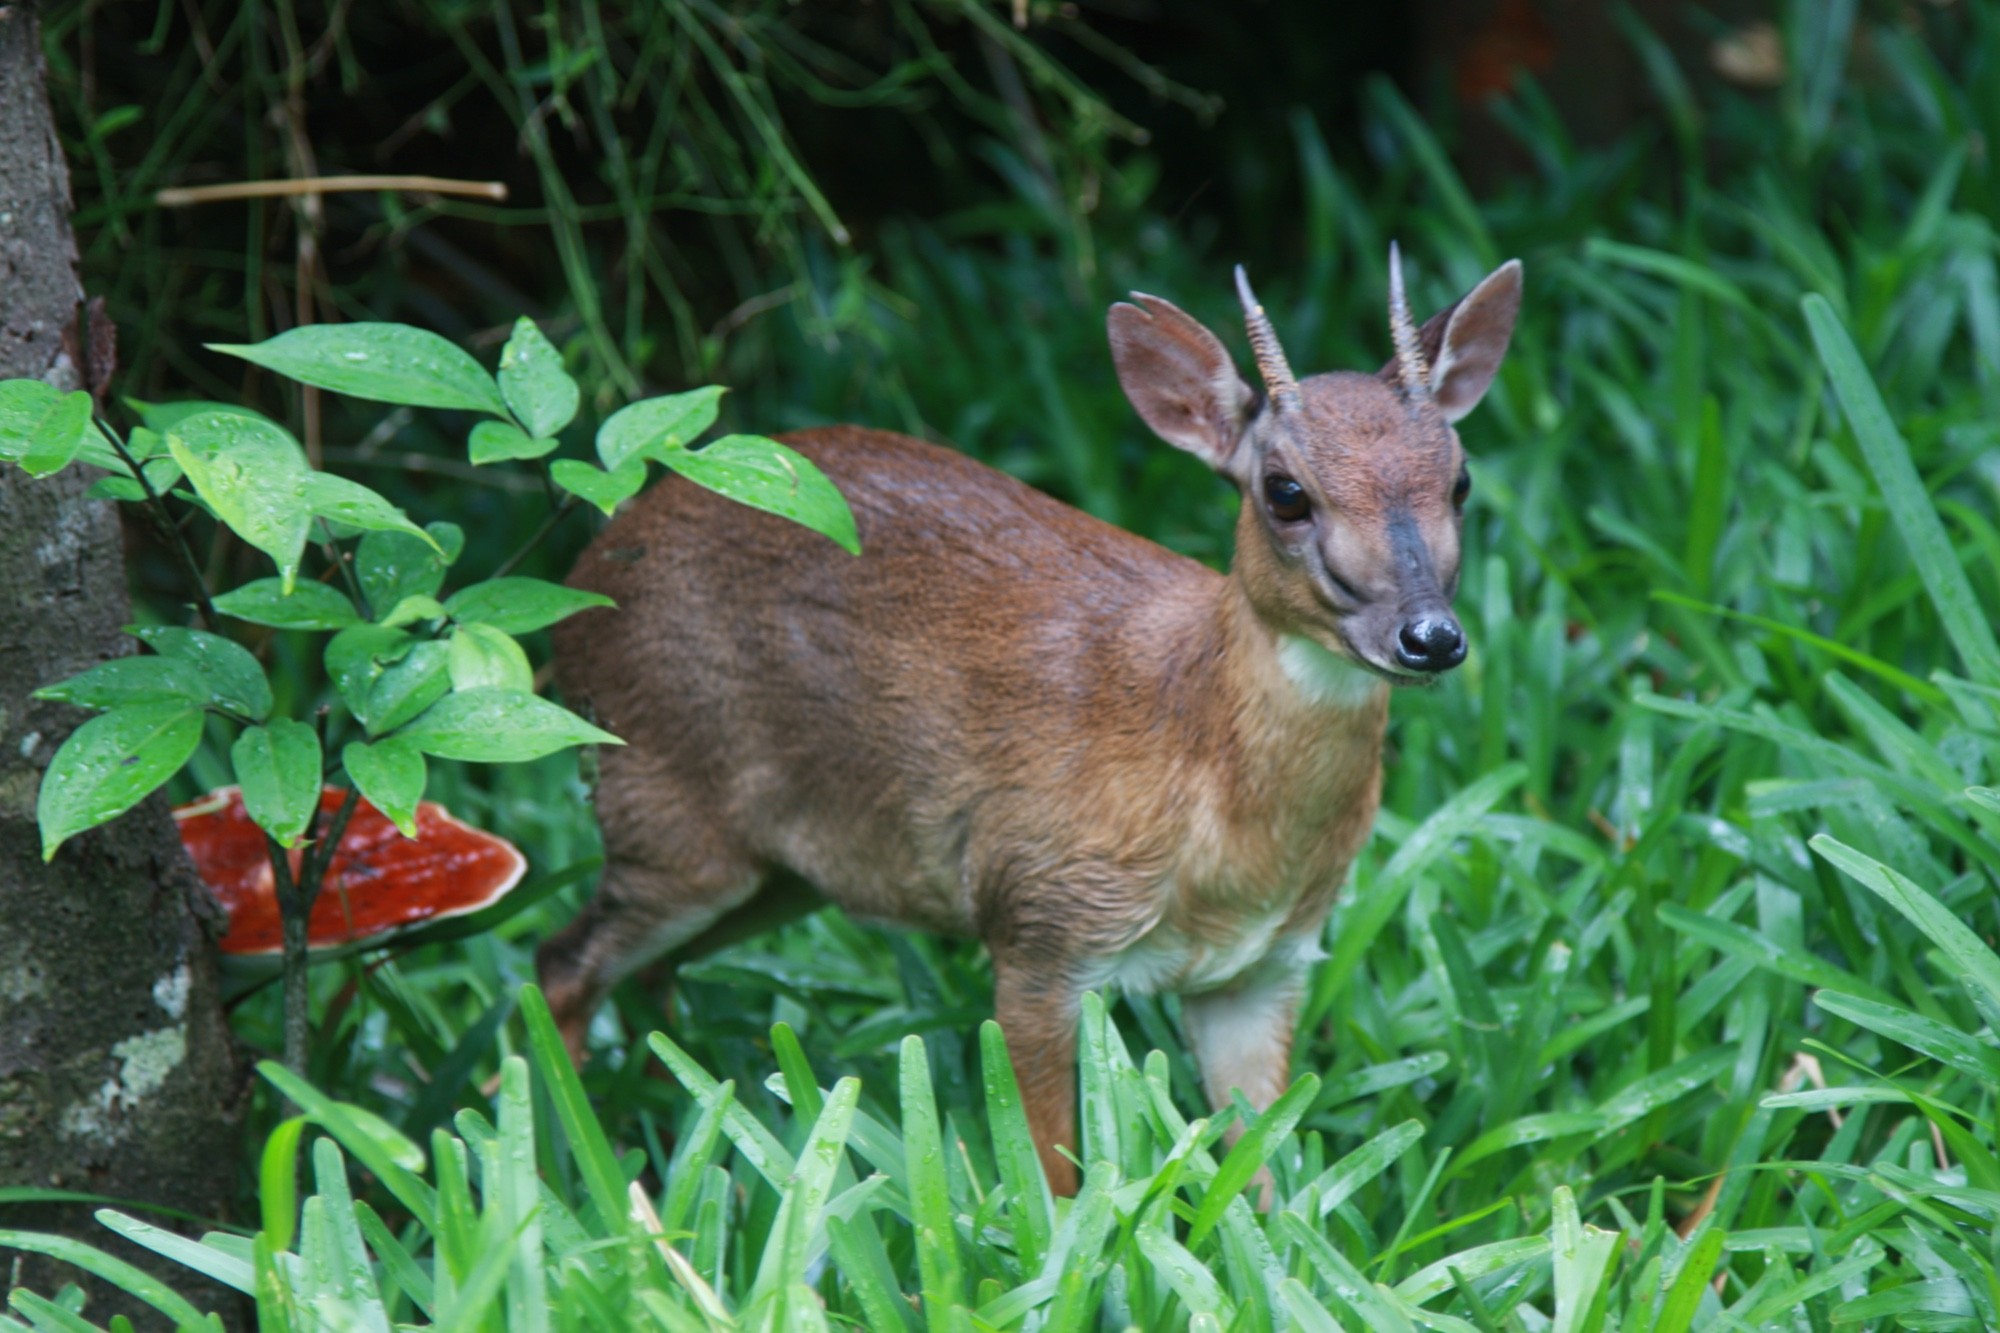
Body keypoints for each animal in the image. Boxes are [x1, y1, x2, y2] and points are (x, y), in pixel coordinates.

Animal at [540, 249, 1520, 1192]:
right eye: (1284, 491)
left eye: (1462, 480)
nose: (1430, 636)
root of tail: (583, 585)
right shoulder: (1041, 919)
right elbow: (1051, 1175)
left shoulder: (1266, 962)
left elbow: (1264, 1174)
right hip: (666, 810)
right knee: (561, 962)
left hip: (780, 866)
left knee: (649, 972)